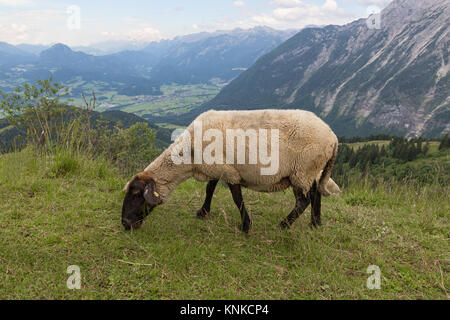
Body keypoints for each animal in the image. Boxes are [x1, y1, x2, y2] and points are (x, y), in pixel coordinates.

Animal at [121, 110, 340, 232]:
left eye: (136, 194)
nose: (125, 224)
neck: (189, 156)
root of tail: (333, 137)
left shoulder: (229, 171)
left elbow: (237, 198)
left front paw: (246, 226)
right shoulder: (216, 168)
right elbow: (209, 189)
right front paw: (203, 212)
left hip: (302, 170)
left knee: (303, 201)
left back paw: (283, 225)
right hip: (310, 171)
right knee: (315, 193)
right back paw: (315, 223)